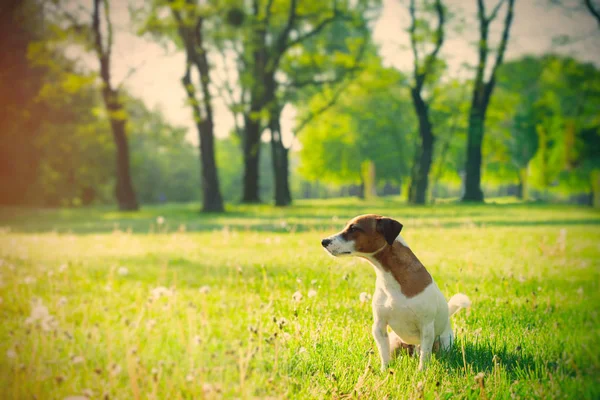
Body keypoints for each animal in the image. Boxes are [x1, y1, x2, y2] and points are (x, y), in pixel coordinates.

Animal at [322, 216, 472, 372]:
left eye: (354, 228)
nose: (324, 241)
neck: (392, 279)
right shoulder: (379, 326)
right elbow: (384, 353)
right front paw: (384, 371)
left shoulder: (426, 328)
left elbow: (424, 356)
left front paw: (421, 372)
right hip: (395, 342)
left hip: (443, 343)